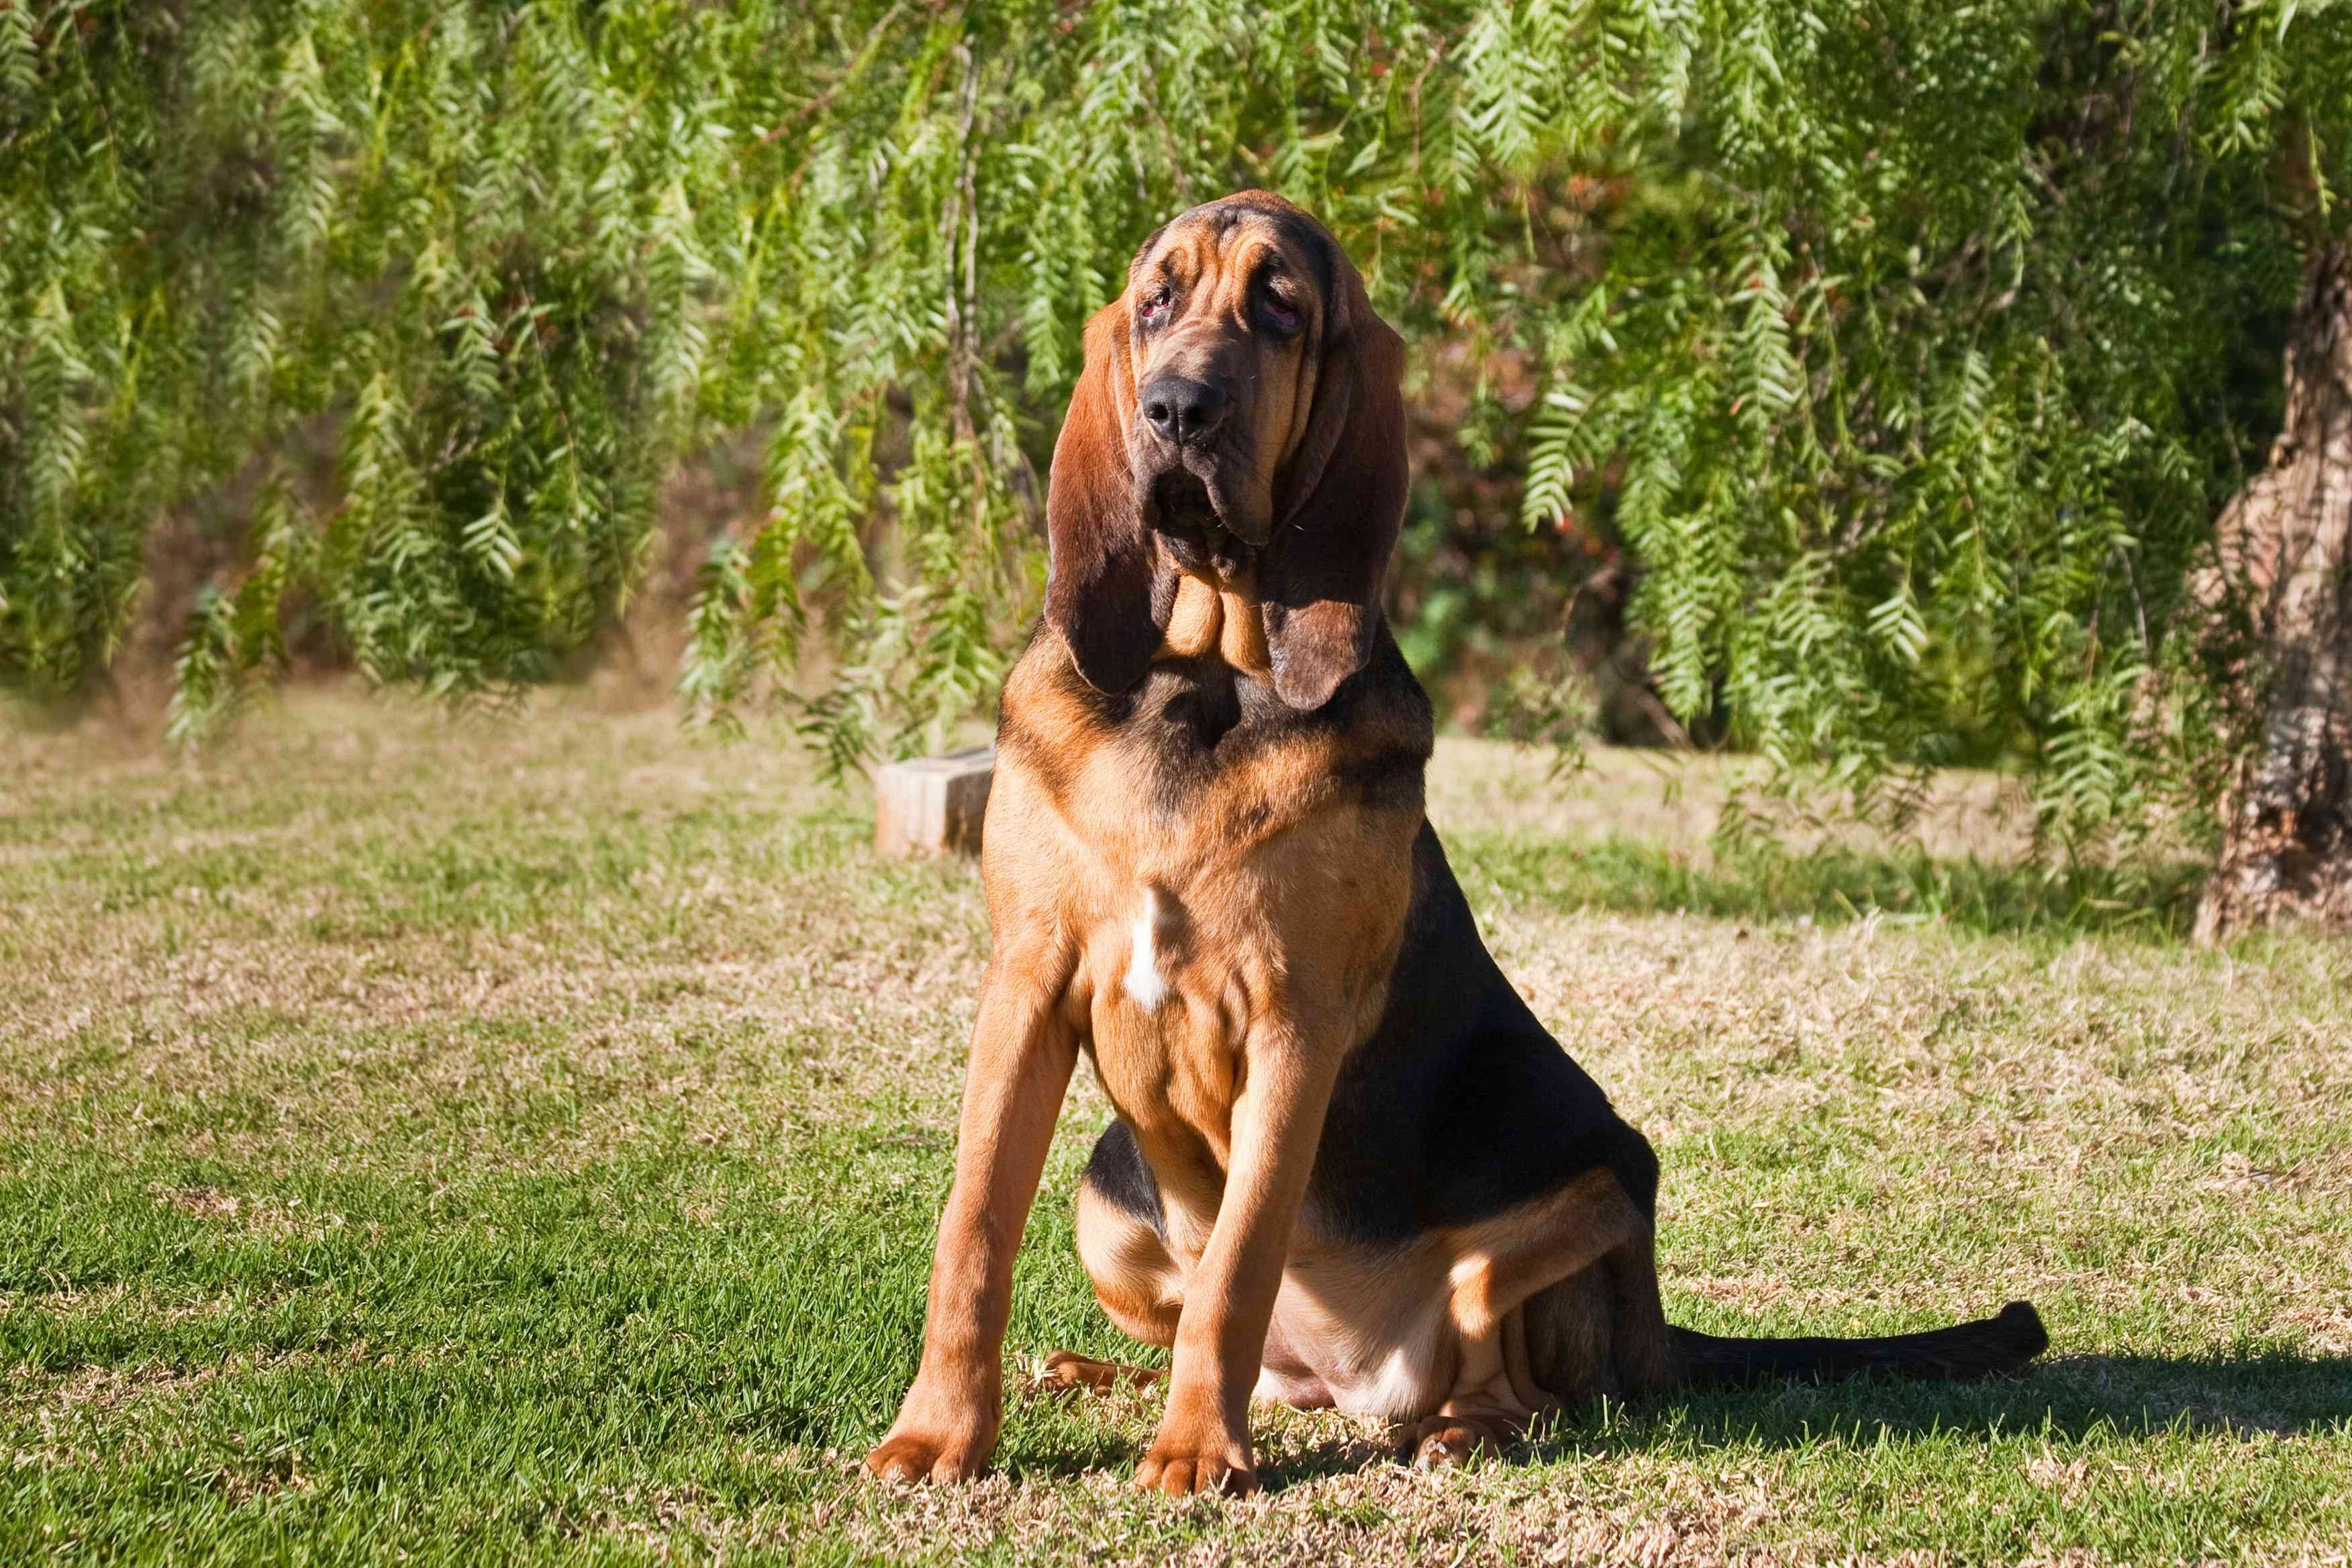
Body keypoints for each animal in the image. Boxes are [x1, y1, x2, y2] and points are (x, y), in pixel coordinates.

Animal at [865, 193, 2041, 1495]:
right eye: (1156, 301)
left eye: (1280, 307)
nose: (1175, 410)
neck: (1206, 685)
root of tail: (1336, 1380)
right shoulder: (1024, 985)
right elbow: (972, 1230)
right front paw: (937, 1434)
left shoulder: (1293, 1024)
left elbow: (1237, 1265)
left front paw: (1195, 1454)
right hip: (1106, 1198)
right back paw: (1101, 1376)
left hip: (1593, 1195)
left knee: (1514, 1374)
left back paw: (1447, 1428)